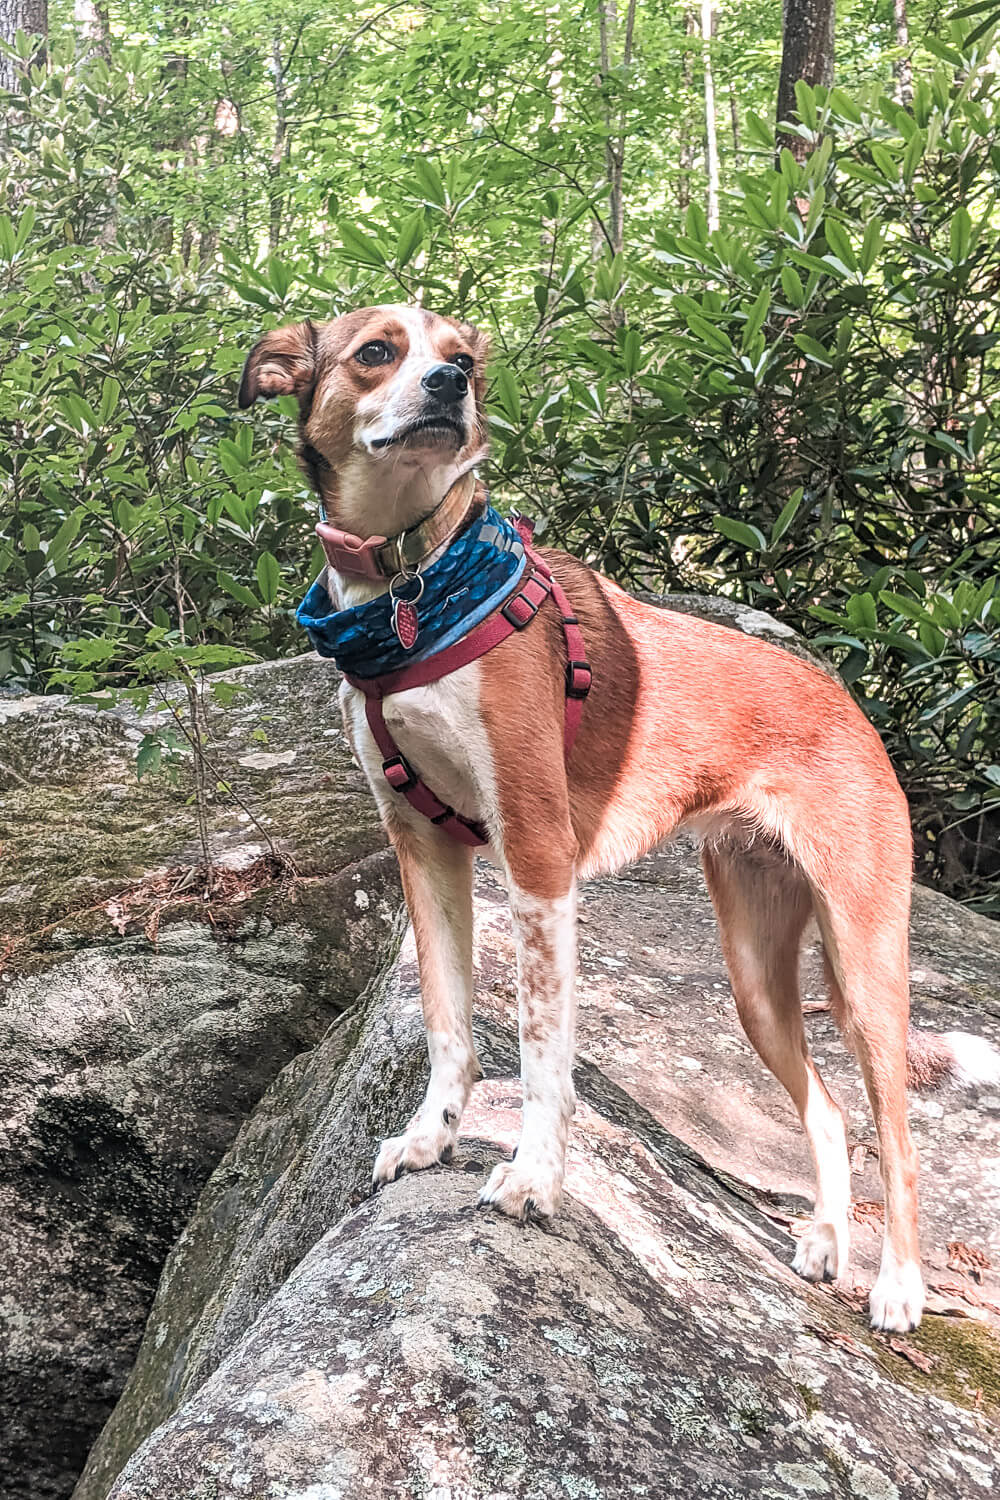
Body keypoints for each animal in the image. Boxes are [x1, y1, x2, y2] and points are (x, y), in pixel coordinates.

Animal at [242, 304, 1000, 1338]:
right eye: (377, 353)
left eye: (462, 356)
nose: (450, 386)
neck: (412, 583)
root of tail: (843, 698)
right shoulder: (424, 851)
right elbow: (446, 1024)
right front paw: (430, 1139)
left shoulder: (537, 857)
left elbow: (540, 1048)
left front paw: (533, 1179)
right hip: (756, 978)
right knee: (830, 1111)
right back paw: (825, 1243)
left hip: (865, 960)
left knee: (895, 1128)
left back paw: (899, 1286)